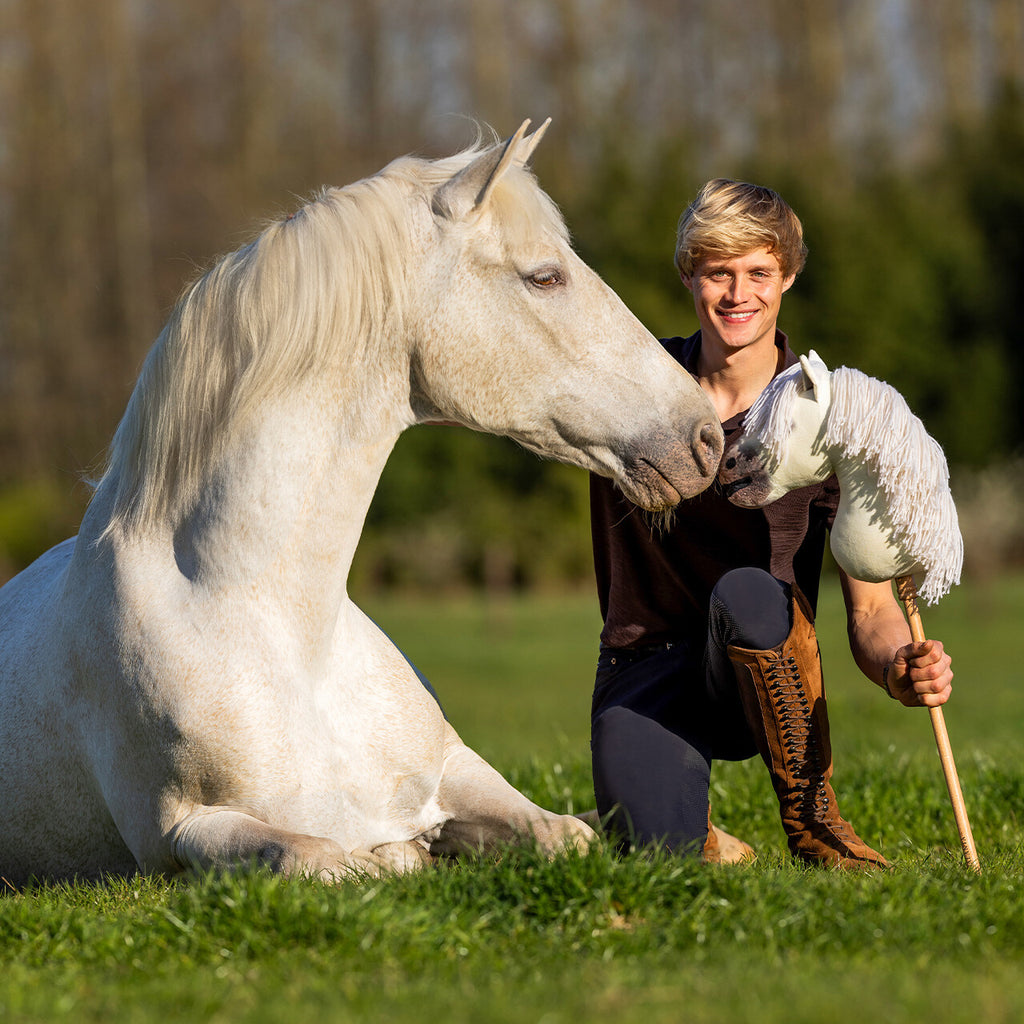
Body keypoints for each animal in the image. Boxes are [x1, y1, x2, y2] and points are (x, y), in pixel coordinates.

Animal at [0, 121, 724, 886]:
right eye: (545, 276)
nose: (704, 435)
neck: (282, 633)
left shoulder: (455, 768)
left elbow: (565, 835)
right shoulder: (177, 834)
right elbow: (326, 859)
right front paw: (399, 854)